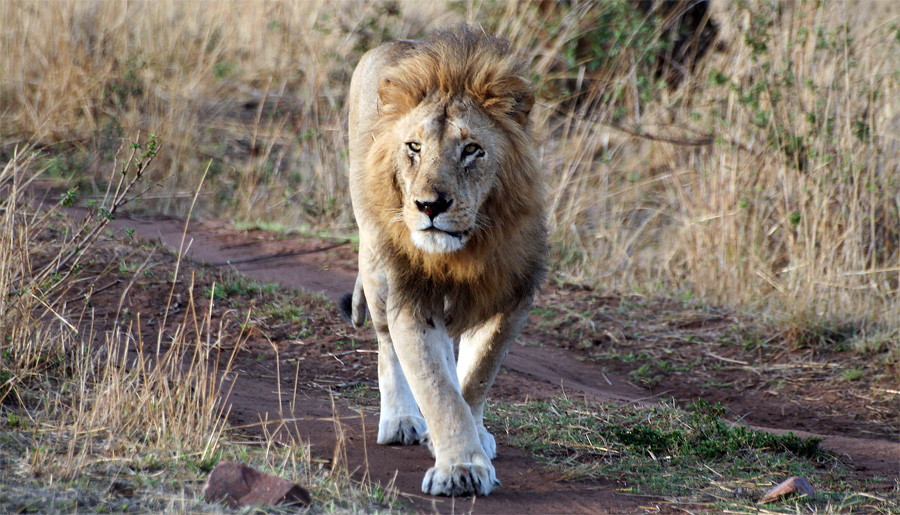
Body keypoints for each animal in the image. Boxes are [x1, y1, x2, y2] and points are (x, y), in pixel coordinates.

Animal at [340, 26, 544, 498]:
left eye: (471, 149)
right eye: (414, 147)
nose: (429, 206)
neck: (464, 252)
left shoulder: (513, 297)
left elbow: (476, 376)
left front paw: (466, 444)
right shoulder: (410, 298)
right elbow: (436, 387)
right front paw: (460, 469)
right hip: (375, 264)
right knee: (386, 347)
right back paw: (400, 419)